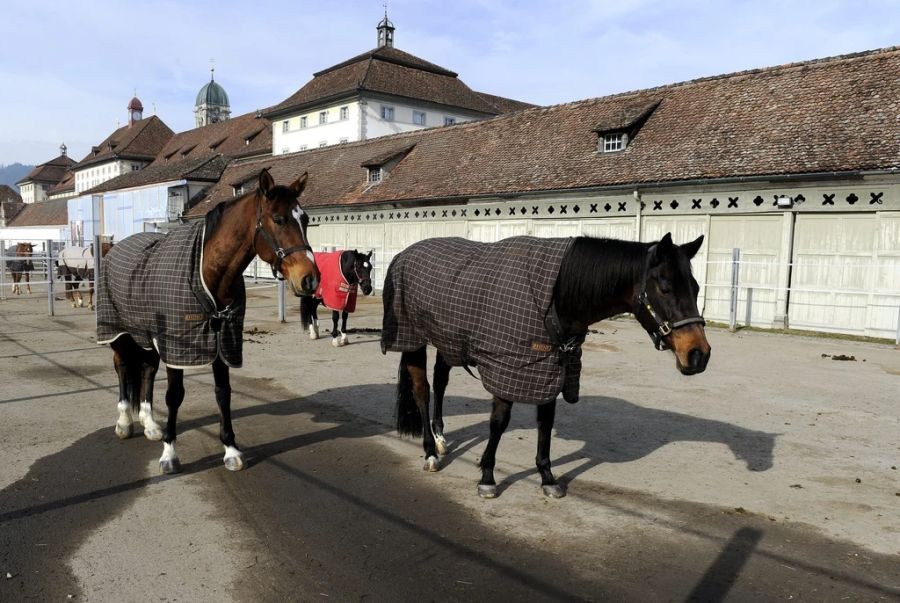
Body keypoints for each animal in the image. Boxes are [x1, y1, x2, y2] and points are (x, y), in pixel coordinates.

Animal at [97, 170, 320, 476]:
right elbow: (174, 396)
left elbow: (223, 394)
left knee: (147, 369)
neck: (206, 272)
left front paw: (231, 450)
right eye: (278, 219)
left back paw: (149, 424)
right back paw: (124, 423)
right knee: (121, 367)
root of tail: (114, 247)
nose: (310, 279)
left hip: (148, 336)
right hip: (118, 332)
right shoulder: (179, 346)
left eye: (306, 219)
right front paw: (169, 454)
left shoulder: (221, 342)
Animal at [380, 234, 712, 498]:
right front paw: (488, 477)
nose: (699, 354)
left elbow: (545, 423)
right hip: (413, 338)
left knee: (440, 382)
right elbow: (499, 423)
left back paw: (440, 440)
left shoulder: (551, 369)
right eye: (666, 287)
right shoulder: (509, 367)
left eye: (696, 288)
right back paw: (429, 452)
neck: (556, 296)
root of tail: (404, 254)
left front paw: (547, 478)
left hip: (447, 340)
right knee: (422, 391)